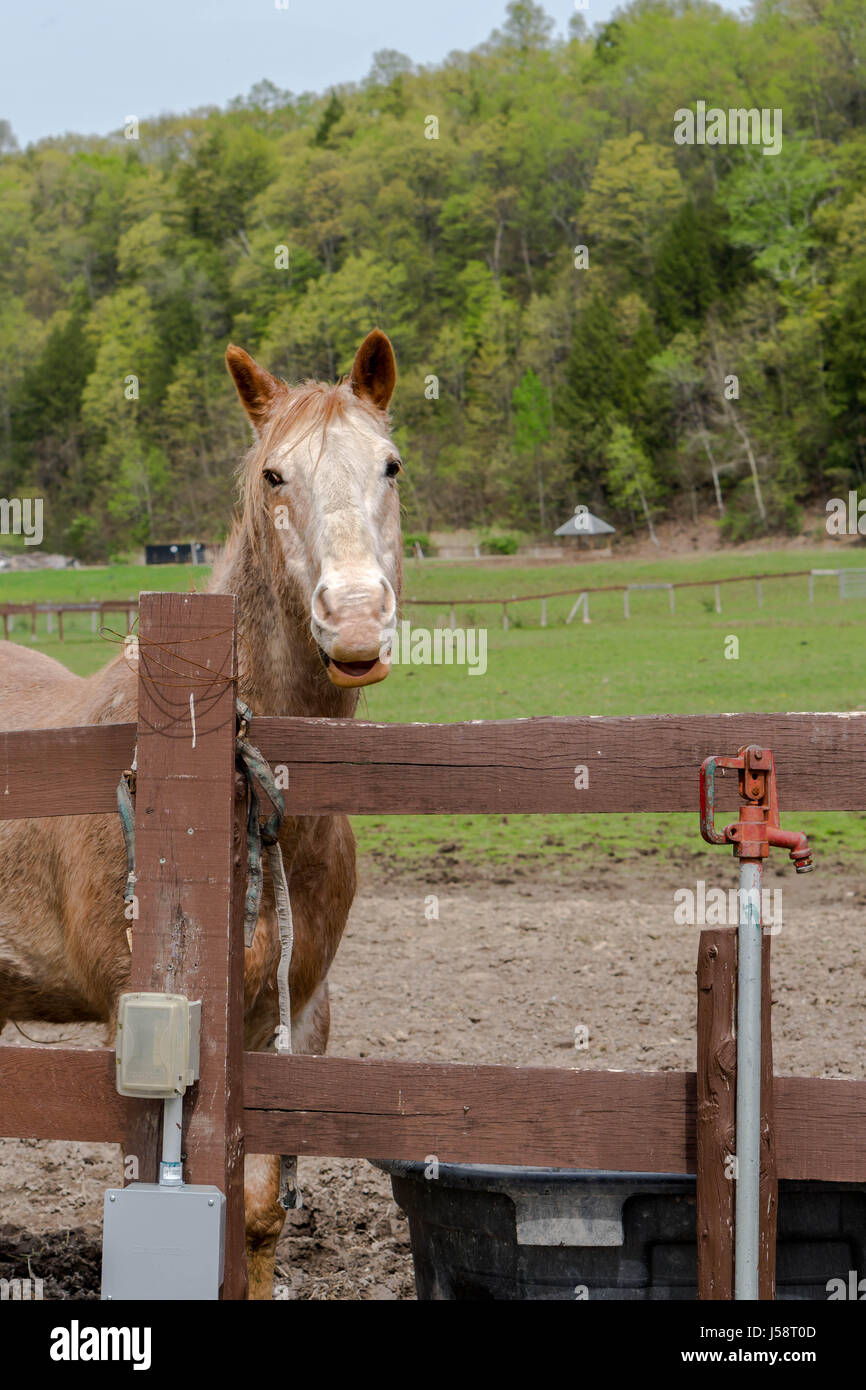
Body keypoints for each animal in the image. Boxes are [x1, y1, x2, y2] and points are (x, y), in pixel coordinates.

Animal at [0, 330, 405, 1295]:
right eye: (275, 475)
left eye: (390, 466)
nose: (357, 623)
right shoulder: (137, 1018)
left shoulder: (295, 1017)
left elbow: (257, 1216)